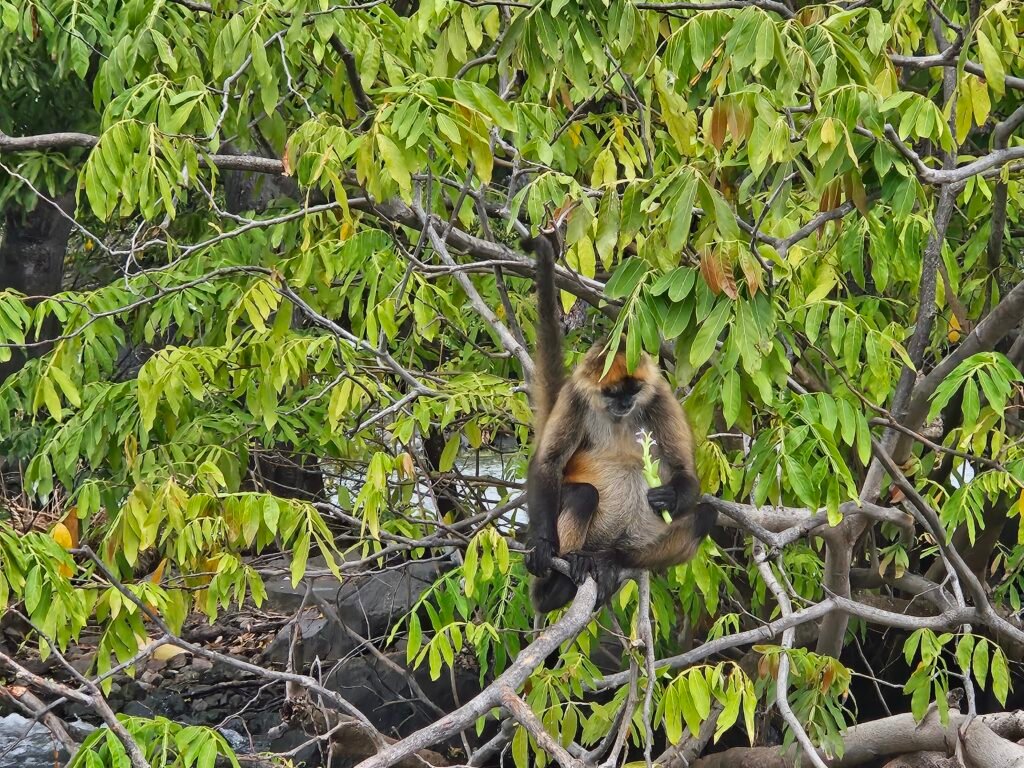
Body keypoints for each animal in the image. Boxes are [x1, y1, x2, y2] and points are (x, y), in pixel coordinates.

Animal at [521, 230, 718, 613]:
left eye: (634, 389)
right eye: (613, 393)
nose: (626, 403)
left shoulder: (659, 396)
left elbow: (685, 470)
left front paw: (670, 496)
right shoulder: (575, 396)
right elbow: (548, 462)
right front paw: (541, 543)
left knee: (705, 516)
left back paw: (610, 560)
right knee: (584, 495)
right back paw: (557, 583)